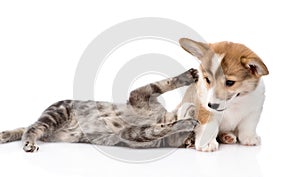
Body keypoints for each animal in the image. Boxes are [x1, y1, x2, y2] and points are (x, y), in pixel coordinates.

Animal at [0, 69, 202, 152]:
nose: (193, 140)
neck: (163, 116)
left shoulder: (133, 134)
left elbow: (161, 128)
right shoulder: (140, 96)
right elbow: (164, 83)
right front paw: (188, 76)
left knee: (28, 127)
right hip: (57, 113)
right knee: (31, 128)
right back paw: (28, 143)